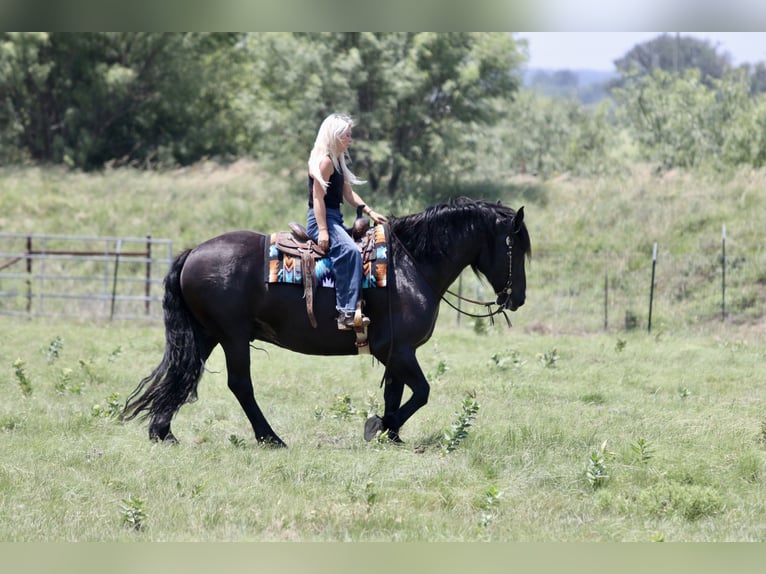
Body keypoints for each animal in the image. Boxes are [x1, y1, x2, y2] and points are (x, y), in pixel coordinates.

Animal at [122, 197, 531, 447]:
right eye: (517, 248)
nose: (518, 298)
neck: (409, 265)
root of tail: (193, 252)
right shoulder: (398, 350)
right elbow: (422, 392)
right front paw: (380, 427)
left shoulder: (396, 353)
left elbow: (396, 392)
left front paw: (391, 434)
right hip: (233, 336)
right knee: (240, 385)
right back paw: (270, 438)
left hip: (207, 334)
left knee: (184, 374)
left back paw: (162, 431)